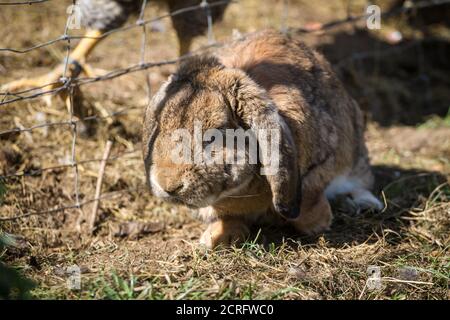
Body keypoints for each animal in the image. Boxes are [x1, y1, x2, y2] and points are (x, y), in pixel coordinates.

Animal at [142, 29, 382, 248]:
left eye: (214, 135)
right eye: (160, 127)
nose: (168, 186)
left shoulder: (321, 164)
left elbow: (309, 196)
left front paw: (319, 223)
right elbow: (226, 217)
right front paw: (215, 239)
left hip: (357, 152)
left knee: (361, 182)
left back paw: (368, 204)